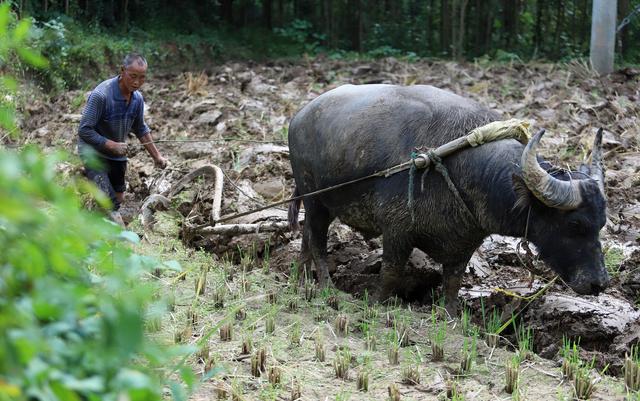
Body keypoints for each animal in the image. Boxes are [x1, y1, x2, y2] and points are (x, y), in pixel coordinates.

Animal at [288, 84, 608, 312]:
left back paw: (299, 276)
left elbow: (453, 282)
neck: (464, 168)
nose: (599, 283)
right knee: (317, 241)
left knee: (306, 237)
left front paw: (450, 314)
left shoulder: (465, 242)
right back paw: (326, 286)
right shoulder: (396, 232)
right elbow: (391, 272)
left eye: (601, 224)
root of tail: (299, 117)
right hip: (315, 201)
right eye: (576, 224)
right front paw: (377, 302)